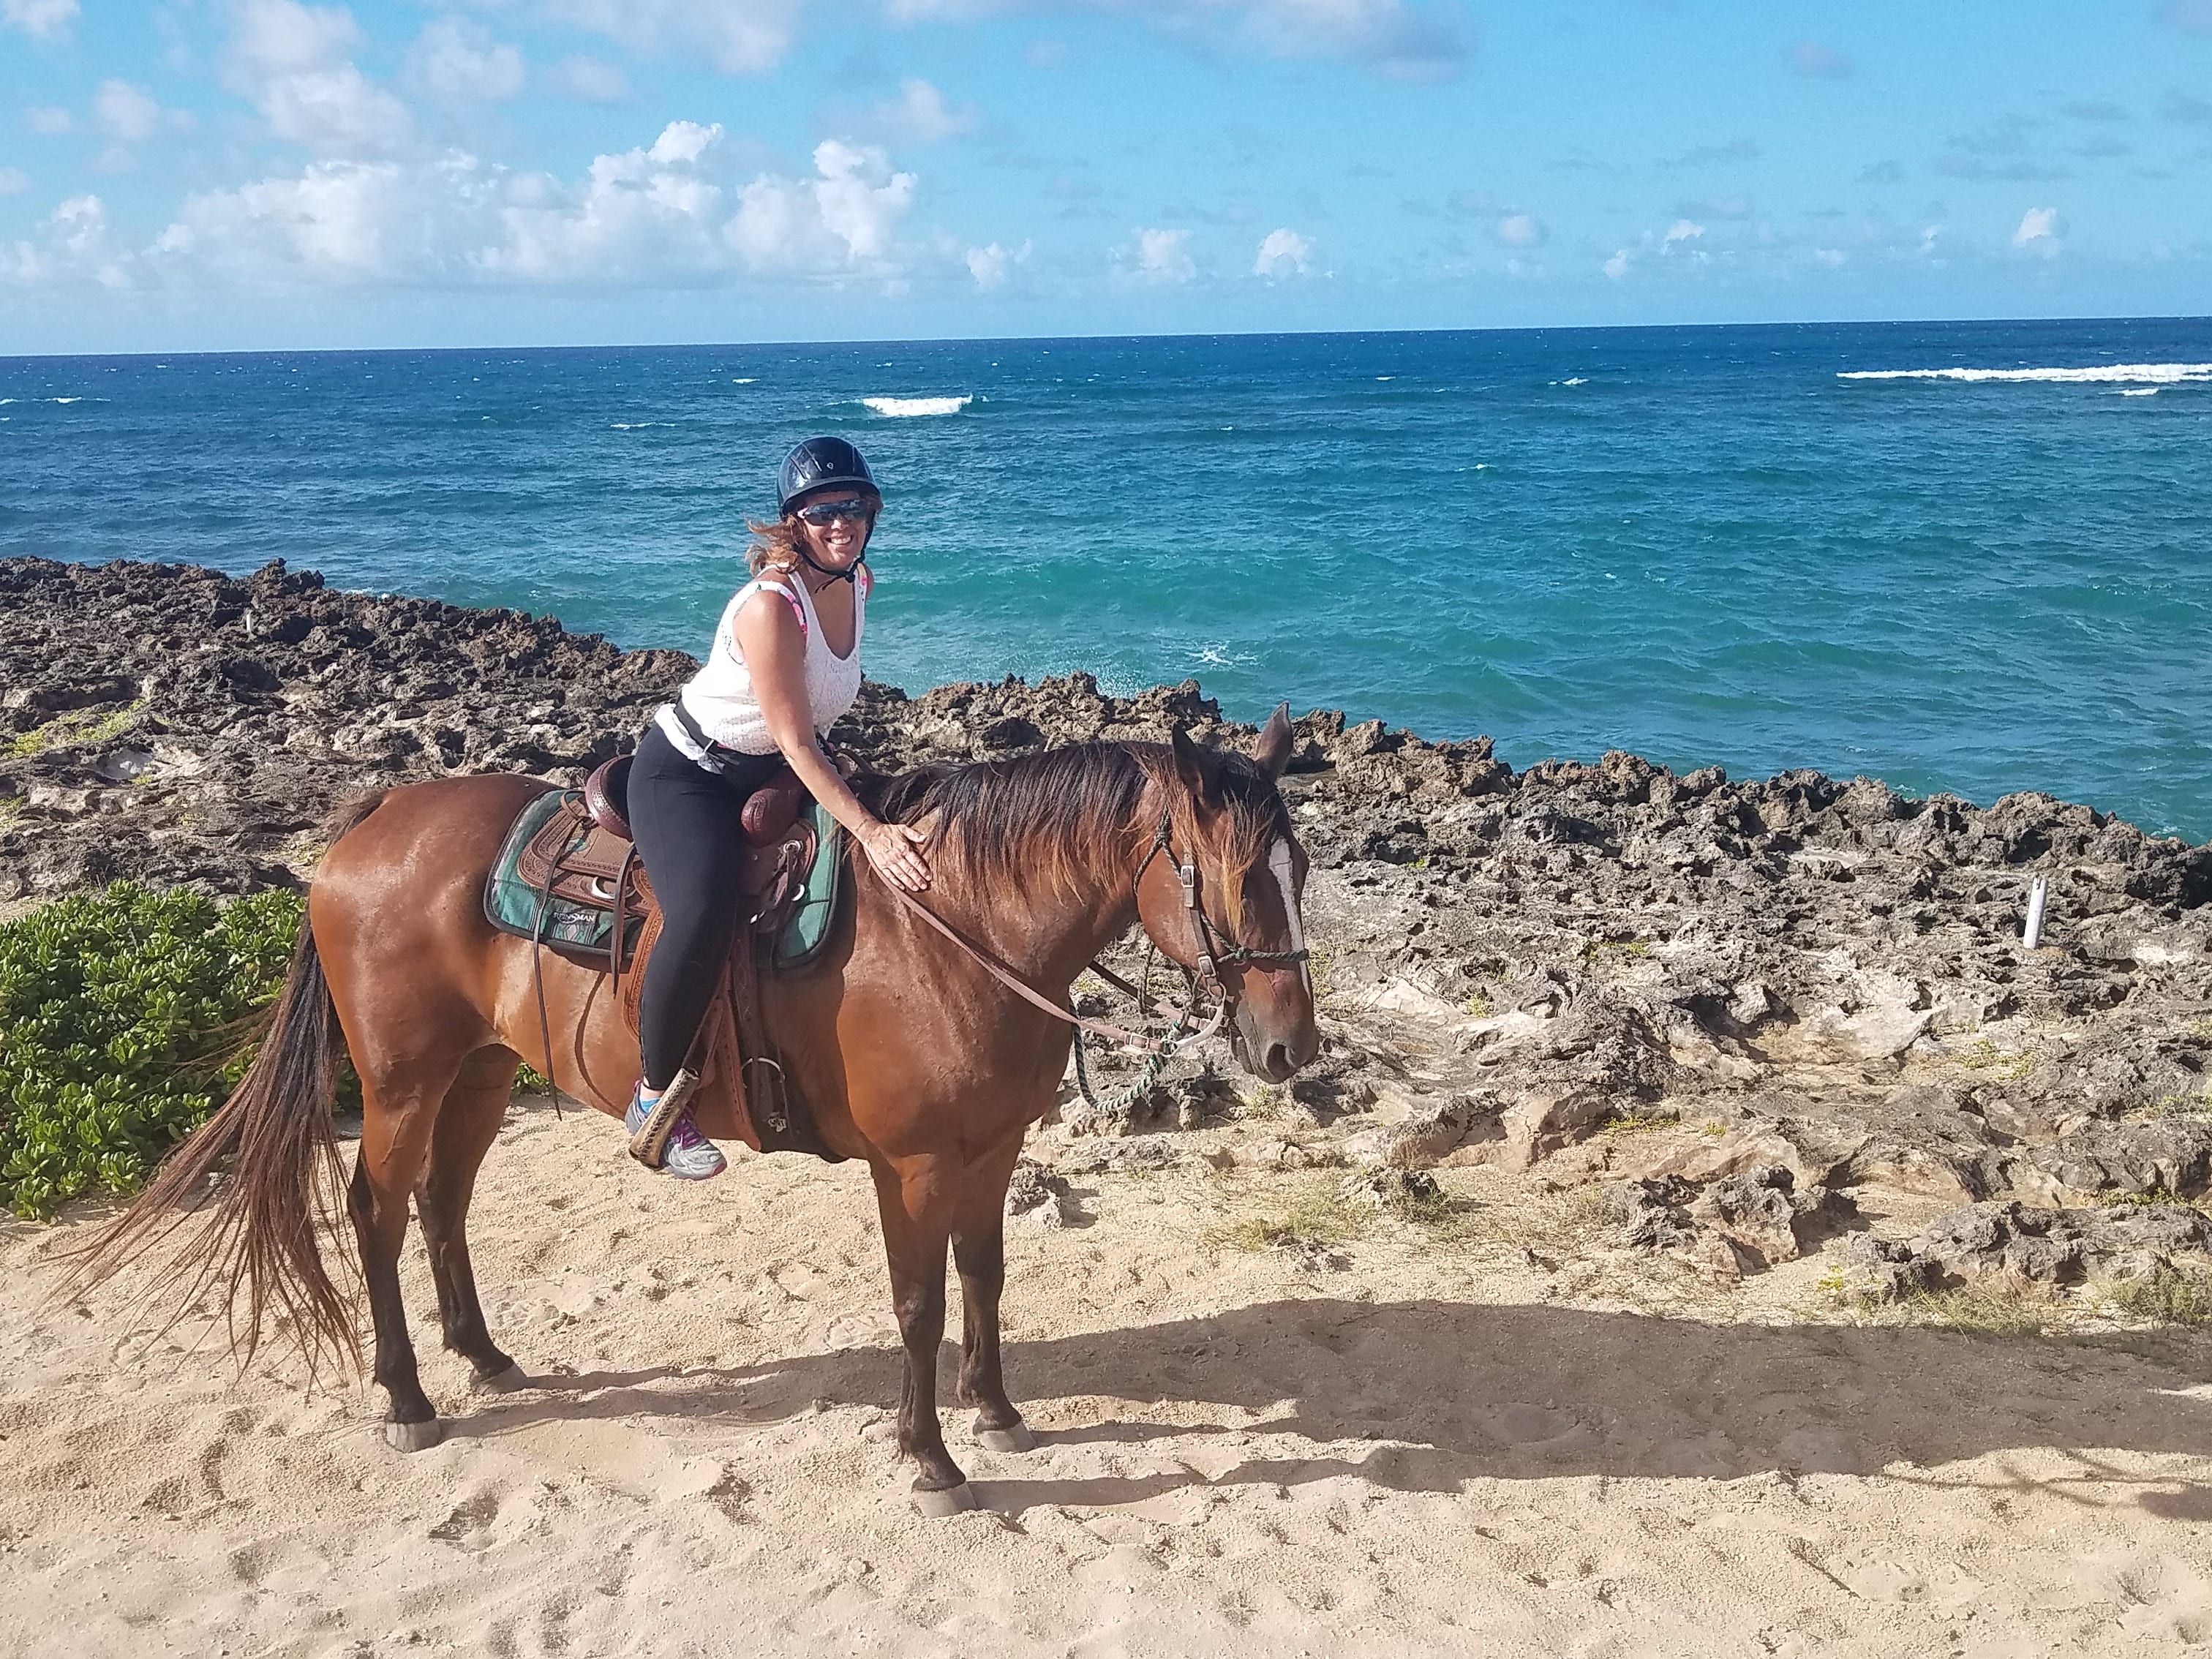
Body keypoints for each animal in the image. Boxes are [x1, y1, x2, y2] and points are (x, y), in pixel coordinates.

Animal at [86, 707, 1318, 1513]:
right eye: (1239, 877)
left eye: (1300, 871)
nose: (1291, 1047)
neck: (957, 925)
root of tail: (376, 817)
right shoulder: (913, 1164)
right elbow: (918, 1303)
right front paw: (929, 1458)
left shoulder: (992, 1146)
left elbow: (985, 1276)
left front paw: (999, 1410)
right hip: (398, 1082)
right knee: (376, 1212)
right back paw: (406, 1394)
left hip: (478, 1075)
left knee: (442, 1203)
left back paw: (482, 1354)